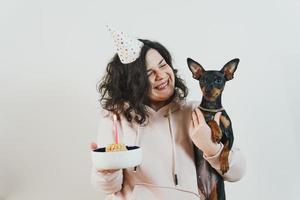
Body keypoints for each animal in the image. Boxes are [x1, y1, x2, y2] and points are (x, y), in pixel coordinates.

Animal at [188, 57, 239, 200]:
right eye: (203, 80)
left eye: (218, 80)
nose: (208, 90)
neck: (211, 108)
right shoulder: (202, 121)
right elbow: (210, 120)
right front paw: (216, 133)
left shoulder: (230, 134)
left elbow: (226, 149)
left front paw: (224, 163)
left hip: (219, 193)